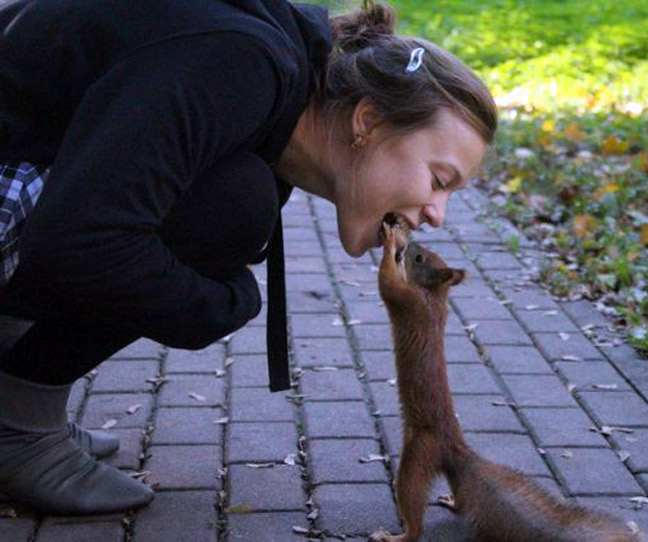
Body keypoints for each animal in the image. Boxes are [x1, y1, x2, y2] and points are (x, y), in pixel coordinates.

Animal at [368, 221, 640, 542]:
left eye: (421, 258)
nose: (411, 244)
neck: (435, 295)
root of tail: (455, 447)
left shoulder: (410, 302)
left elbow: (389, 285)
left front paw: (391, 240)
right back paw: (451, 500)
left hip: (418, 454)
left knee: (413, 510)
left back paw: (396, 535)